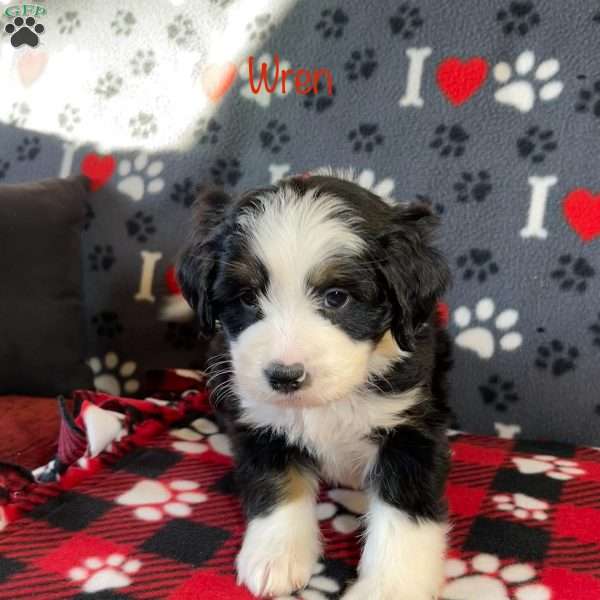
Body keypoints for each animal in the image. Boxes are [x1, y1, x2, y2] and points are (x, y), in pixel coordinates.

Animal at [177, 170, 450, 600]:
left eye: (336, 297)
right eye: (247, 297)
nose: (284, 376)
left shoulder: (409, 428)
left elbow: (404, 511)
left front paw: (390, 586)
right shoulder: (260, 419)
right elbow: (276, 483)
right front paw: (275, 556)